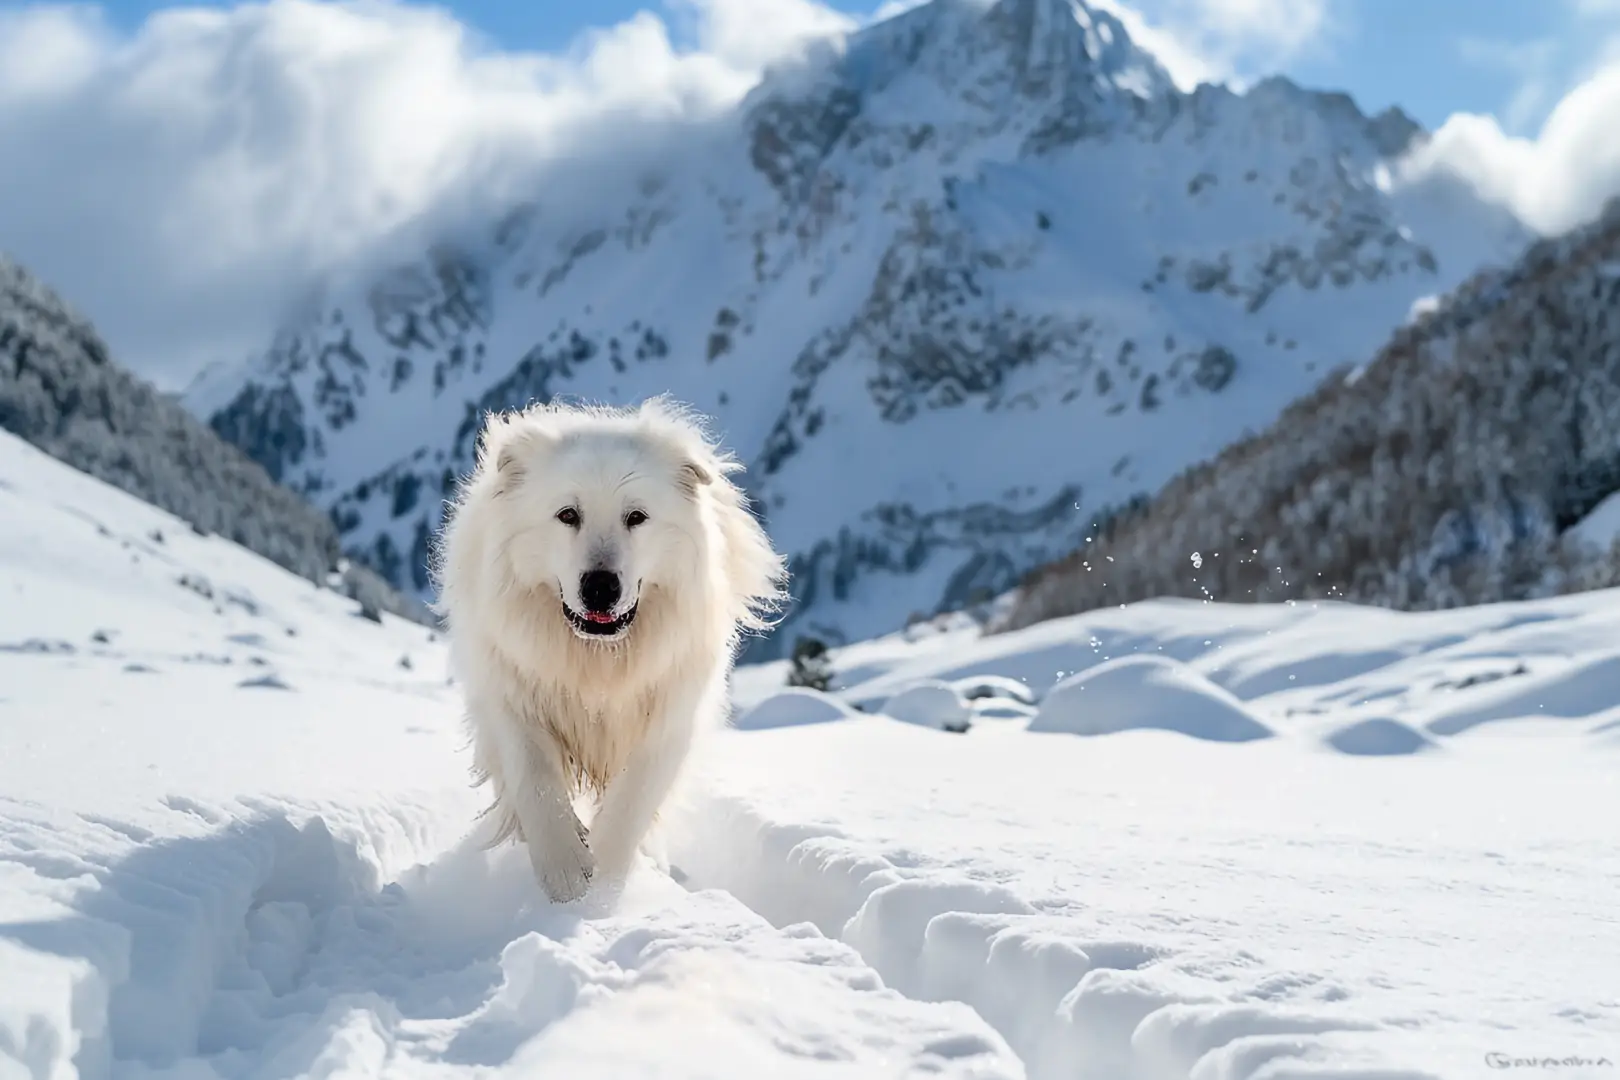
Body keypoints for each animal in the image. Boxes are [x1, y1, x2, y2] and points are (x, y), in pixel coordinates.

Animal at [430, 396, 784, 906]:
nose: (600, 587)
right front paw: (565, 871)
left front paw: (605, 886)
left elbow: (633, 800)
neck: (597, 662)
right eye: (567, 515)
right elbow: (536, 782)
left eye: (636, 517)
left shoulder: (670, 715)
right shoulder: (512, 696)